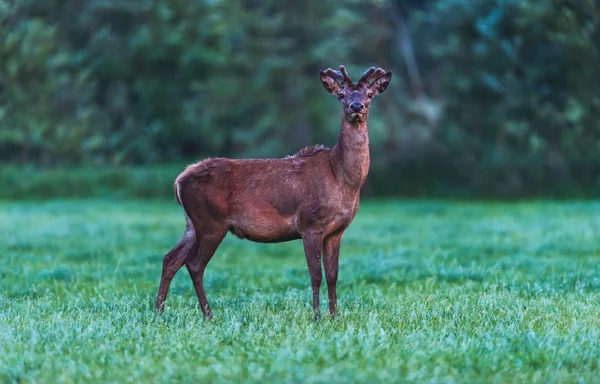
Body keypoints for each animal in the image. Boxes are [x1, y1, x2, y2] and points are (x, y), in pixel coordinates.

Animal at [152, 64, 392, 320]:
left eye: (369, 94)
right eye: (341, 95)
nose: (356, 107)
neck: (341, 179)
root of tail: (178, 181)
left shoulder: (336, 231)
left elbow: (333, 275)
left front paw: (334, 316)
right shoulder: (310, 223)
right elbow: (315, 275)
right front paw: (317, 317)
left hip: (192, 223)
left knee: (171, 259)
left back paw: (158, 312)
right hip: (211, 221)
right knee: (195, 264)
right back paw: (208, 315)